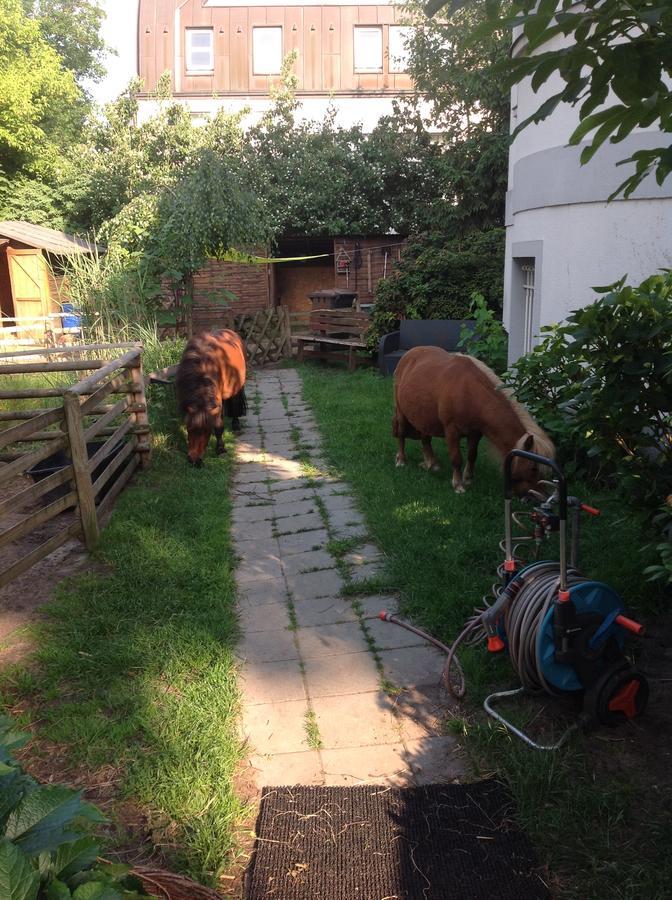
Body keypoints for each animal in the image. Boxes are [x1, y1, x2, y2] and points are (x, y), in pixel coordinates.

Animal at [175, 330, 245, 472]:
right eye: (189, 428)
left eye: (207, 431)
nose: (194, 460)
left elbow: (218, 427)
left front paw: (221, 449)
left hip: (236, 388)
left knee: (235, 405)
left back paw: (236, 425)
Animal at [392, 346, 552, 496]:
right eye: (533, 468)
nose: (541, 496)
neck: (470, 393)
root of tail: (410, 353)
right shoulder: (451, 430)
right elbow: (456, 458)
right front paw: (458, 485)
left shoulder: (475, 433)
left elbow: (472, 455)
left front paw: (468, 478)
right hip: (401, 412)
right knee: (401, 434)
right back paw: (401, 460)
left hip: (424, 416)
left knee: (425, 438)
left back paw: (431, 463)